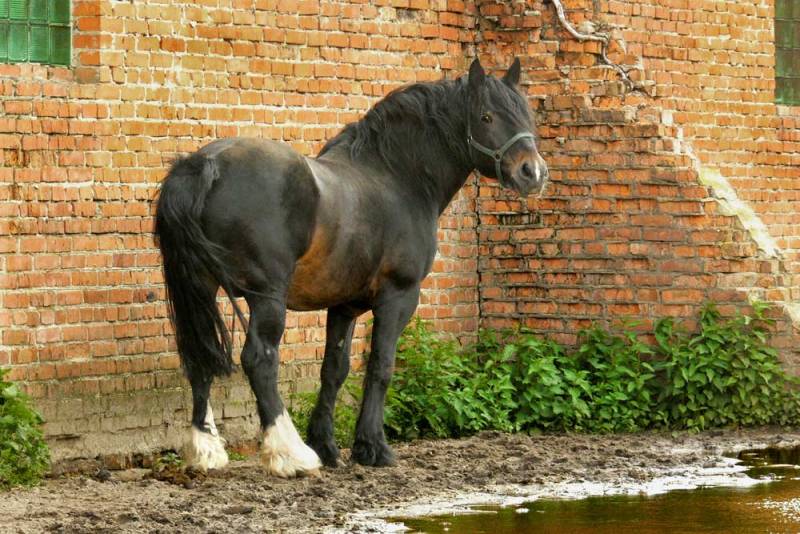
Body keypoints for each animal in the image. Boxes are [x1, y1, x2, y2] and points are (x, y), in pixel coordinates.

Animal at [153, 57, 548, 478]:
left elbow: (335, 368)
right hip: (267, 297)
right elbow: (381, 365)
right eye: (486, 116)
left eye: (525, 115)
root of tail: (205, 165)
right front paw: (372, 447)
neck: (396, 177)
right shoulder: (398, 296)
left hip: (199, 288)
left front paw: (327, 445)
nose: (533, 172)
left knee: (199, 356)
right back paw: (290, 454)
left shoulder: (345, 304)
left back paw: (206, 450)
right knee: (259, 359)